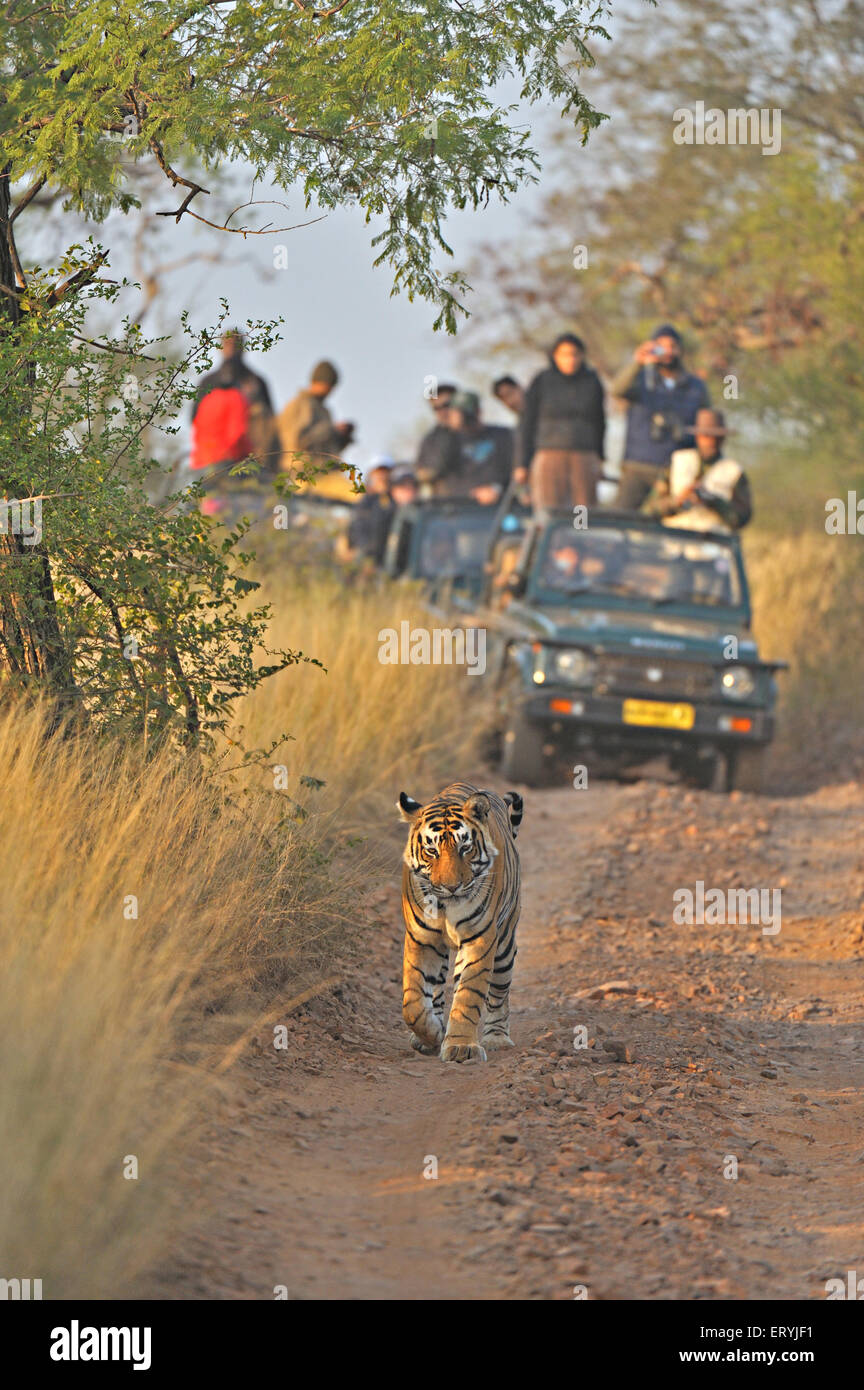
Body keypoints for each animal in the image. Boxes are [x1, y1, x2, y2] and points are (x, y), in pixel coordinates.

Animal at [397, 783, 522, 1061]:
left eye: (465, 848)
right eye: (431, 851)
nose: (451, 887)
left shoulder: (480, 939)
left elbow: (468, 995)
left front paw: (460, 1046)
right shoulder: (421, 939)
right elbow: (412, 1003)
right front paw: (432, 1034)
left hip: (504, 946)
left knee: (499, 993)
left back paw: (497, 1038)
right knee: (436, 991)